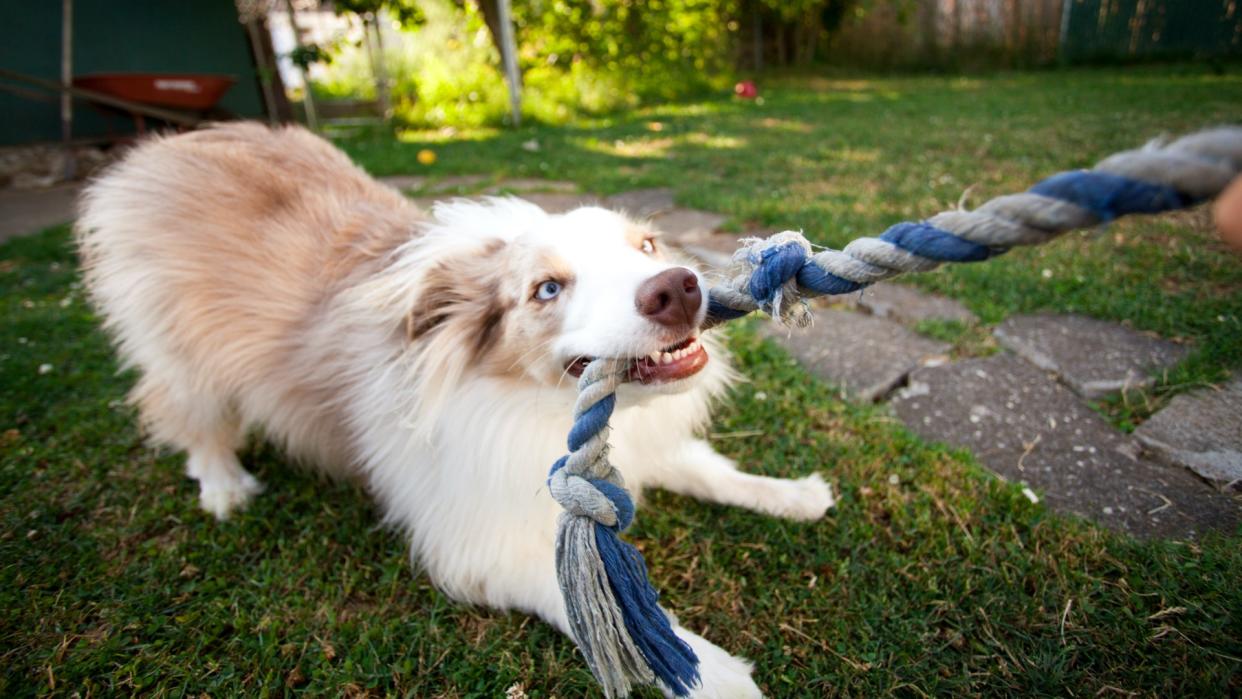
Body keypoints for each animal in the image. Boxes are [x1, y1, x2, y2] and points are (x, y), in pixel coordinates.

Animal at [75, 122, 834, 695]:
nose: (677, 288)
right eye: (547, 288)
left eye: (646, 245)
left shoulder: (649, 445)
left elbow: (712, 470)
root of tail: (170, 142)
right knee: (184, 412)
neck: (532, 402)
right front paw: (713, 672)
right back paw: (223, 483)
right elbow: (598, 607)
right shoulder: (477, 544)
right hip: (180, 350)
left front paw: (794, 494)